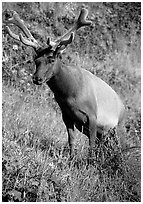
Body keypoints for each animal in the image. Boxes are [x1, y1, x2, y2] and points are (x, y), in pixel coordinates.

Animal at [4, 8, 124, 157]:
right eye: (36, 60)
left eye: (51, 59)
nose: (37, 78)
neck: (70, 94)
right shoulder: (67, 116)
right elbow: (71, 141)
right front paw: (71, 158)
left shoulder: (93, 116)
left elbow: (91, 146)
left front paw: (90, 161)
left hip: (115, 130)